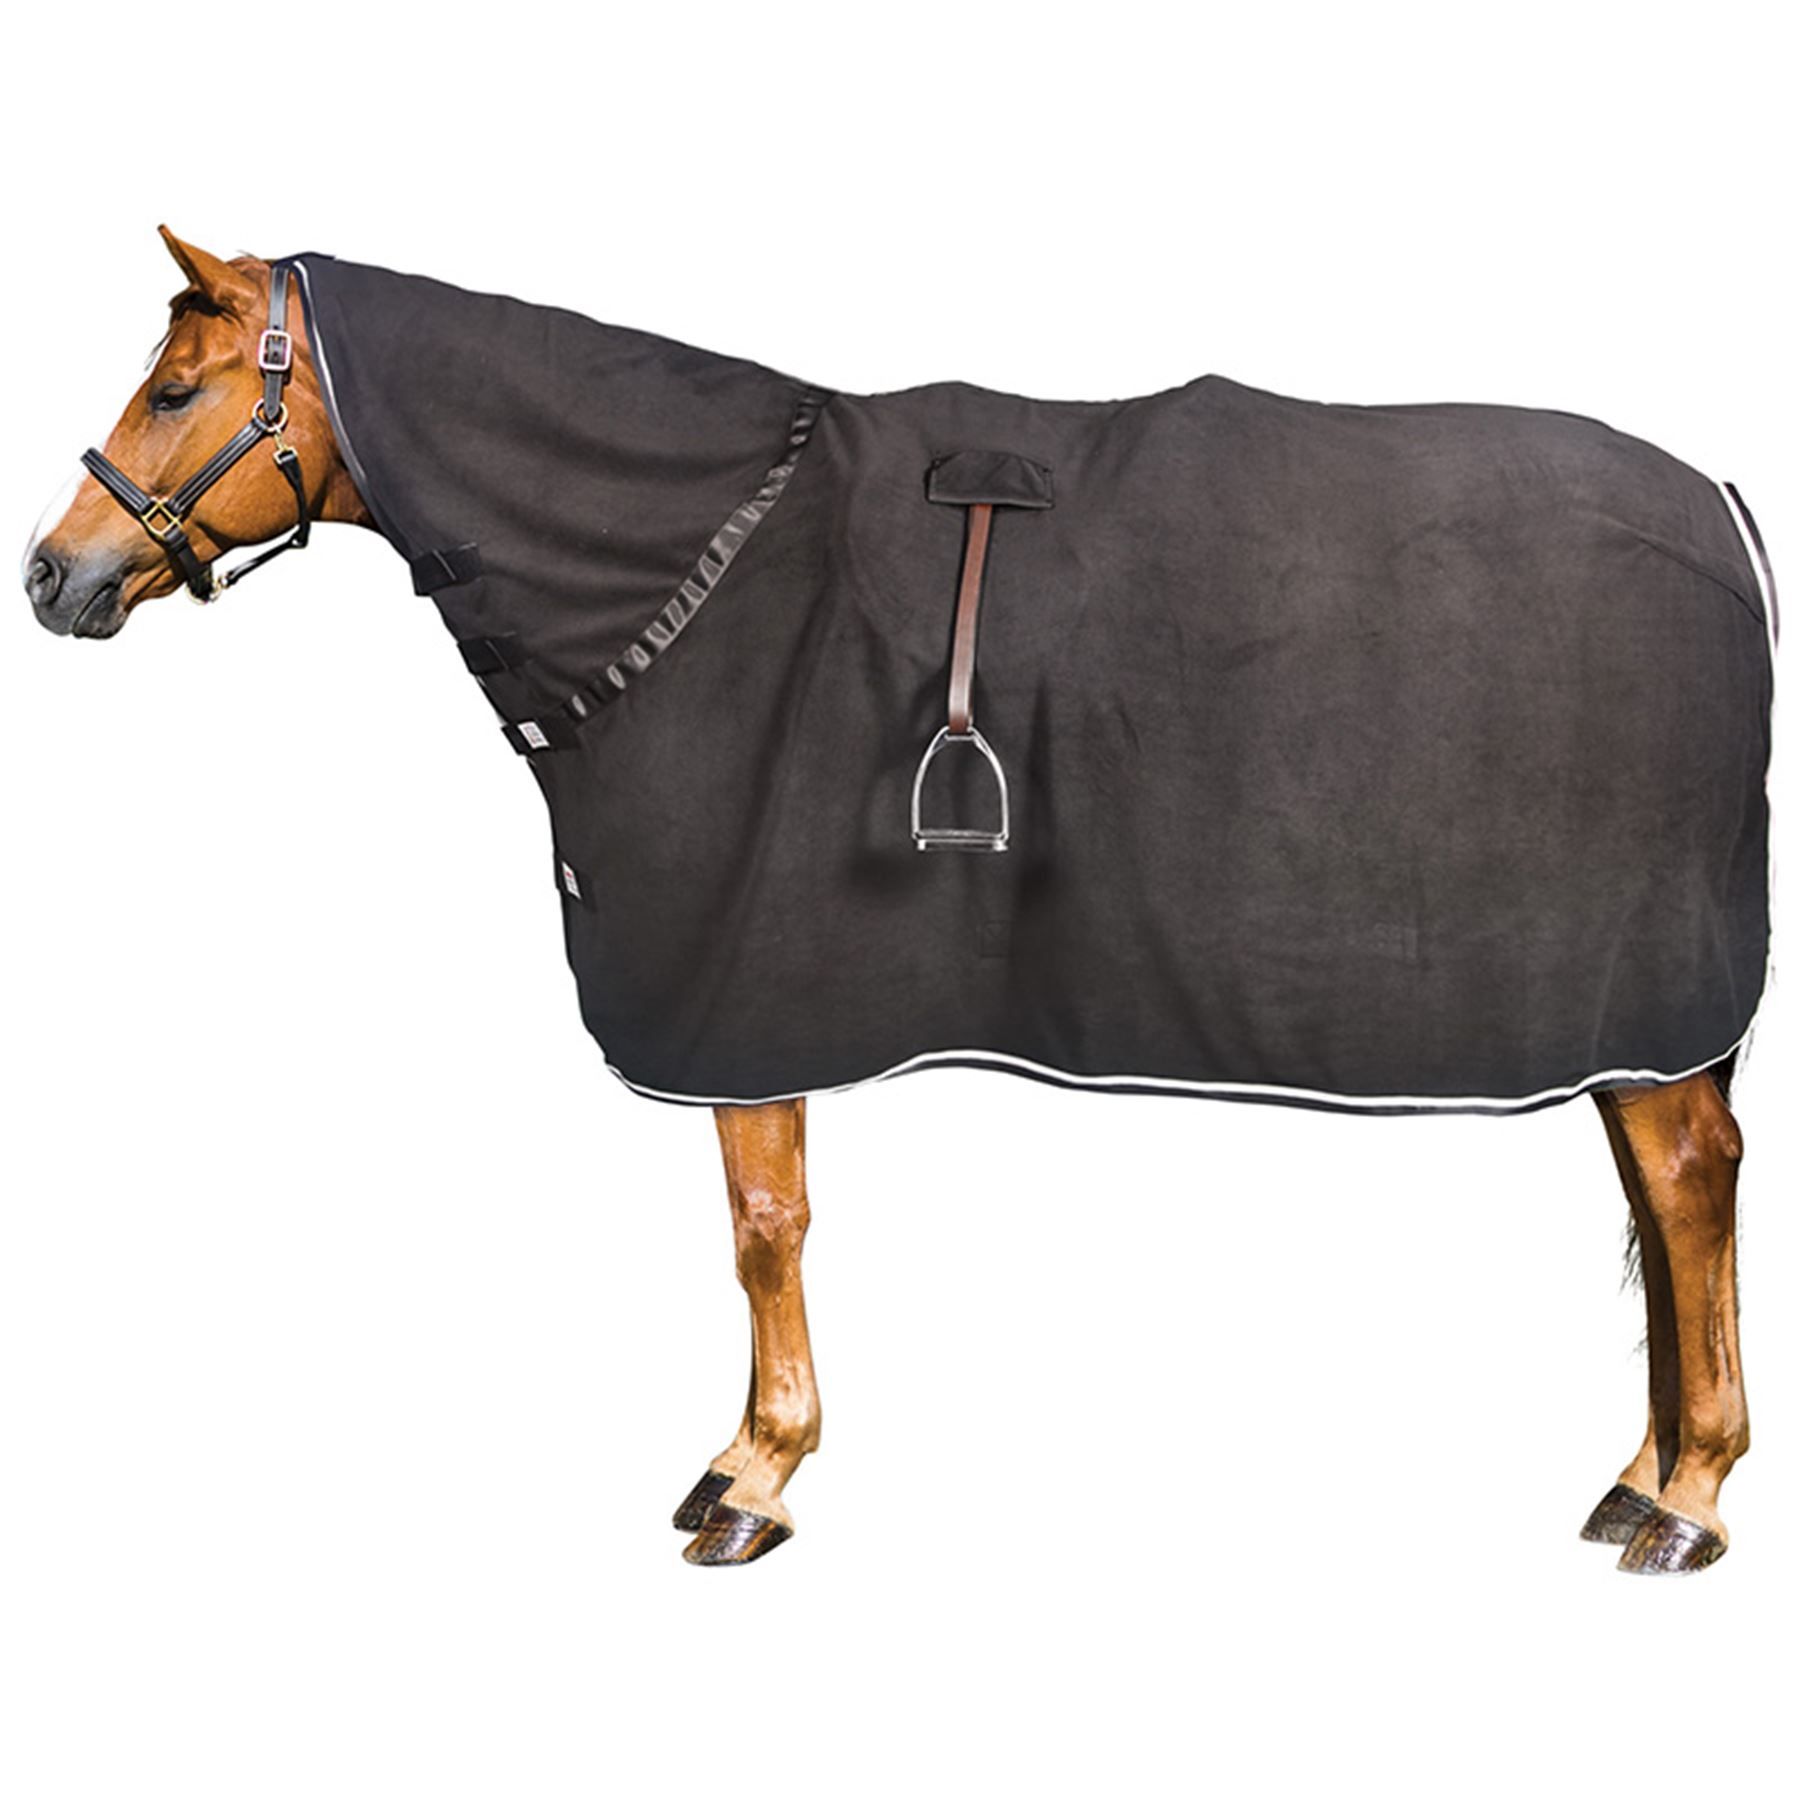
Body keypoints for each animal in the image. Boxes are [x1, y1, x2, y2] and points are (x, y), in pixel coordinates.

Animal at [23, 228, 1774, 1572]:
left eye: (176, 389)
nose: (53, 573)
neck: (707, 555)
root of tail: (1722, 506)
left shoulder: (740, 993)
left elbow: (763, 1229)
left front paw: (753, 1474)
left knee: (1689, 1185)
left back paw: (1690, 1496)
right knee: (1656, 1190)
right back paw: (1644, 1476)